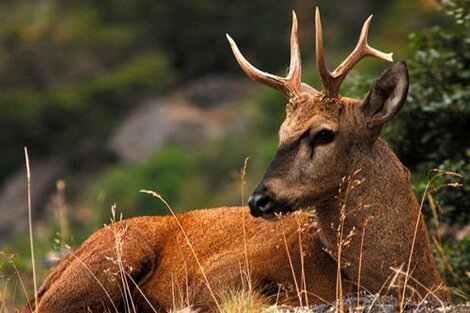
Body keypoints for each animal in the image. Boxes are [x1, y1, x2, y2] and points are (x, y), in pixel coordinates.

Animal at [23, 8, 452, 310]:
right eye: (281, 133)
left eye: (323, 133)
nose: (259, 199)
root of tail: (43, 282)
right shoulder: (210, 279)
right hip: (116, 253)